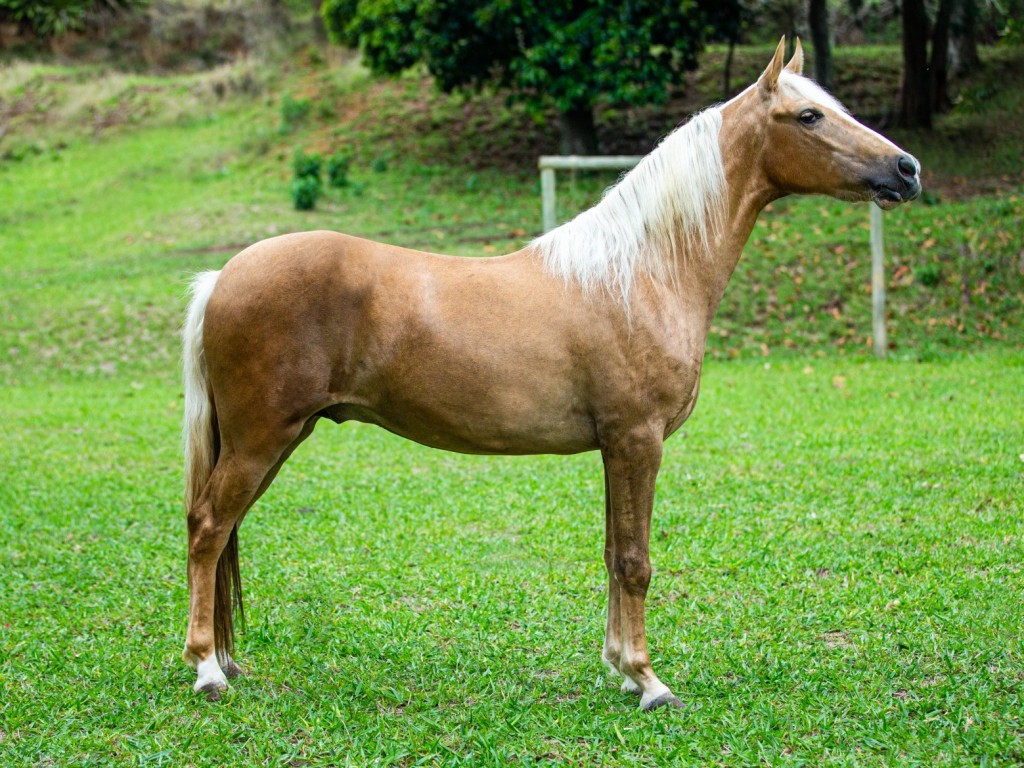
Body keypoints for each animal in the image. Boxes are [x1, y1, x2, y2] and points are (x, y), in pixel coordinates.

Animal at [182, 37, 921, 708]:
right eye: (809, 116)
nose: (907, 169)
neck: (643, 272)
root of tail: (223, 276)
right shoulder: (637, 439)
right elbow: (636, 562)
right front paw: (650, 682)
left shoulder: (616, 447)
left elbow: (614, 554)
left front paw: (621, 668)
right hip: (261, 439)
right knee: (209, 528)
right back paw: (208, 670)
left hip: (275, 439)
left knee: (221, 534)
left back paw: (227, 660)